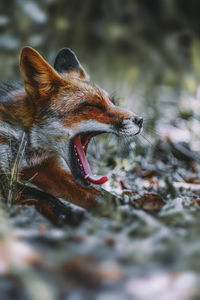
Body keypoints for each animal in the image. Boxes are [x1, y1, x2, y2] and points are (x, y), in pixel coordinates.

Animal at [0, 47, 144, 209]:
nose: (140, 120)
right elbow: (51, 201)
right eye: (94, 105)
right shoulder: (6, 181)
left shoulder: (48, 168)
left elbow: (106, 197)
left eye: (113, 103)